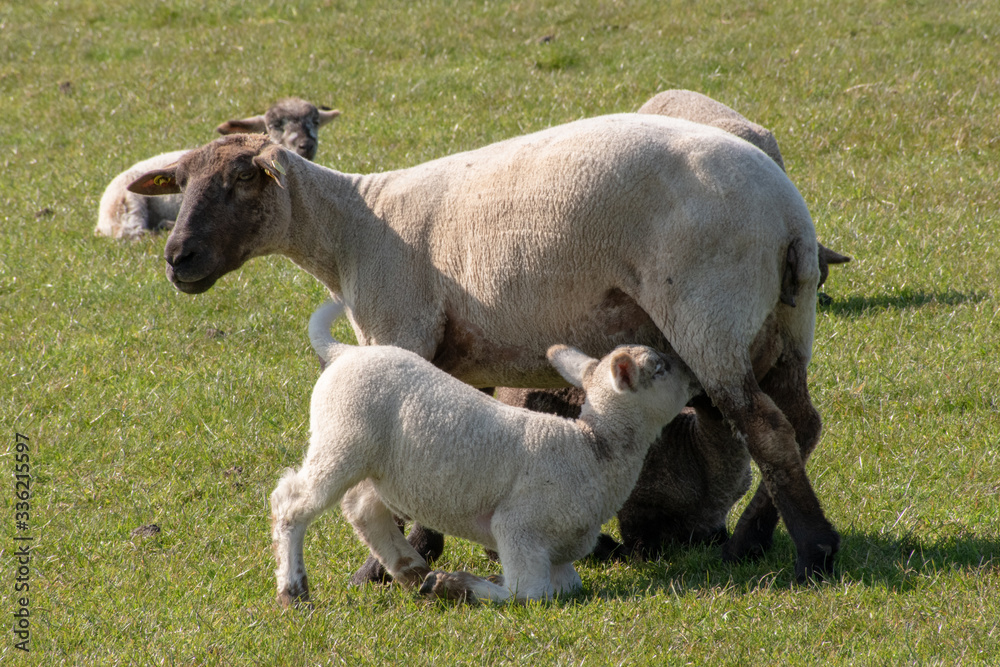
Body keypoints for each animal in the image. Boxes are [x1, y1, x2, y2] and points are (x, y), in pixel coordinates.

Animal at [129, 115, 840, 584]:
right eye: (181, 182)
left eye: (244, 179)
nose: (177, 258)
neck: (353, 229)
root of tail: (790, 218)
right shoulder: (452, 355)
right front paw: (423, 546)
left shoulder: (400, 327)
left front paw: (386, 564)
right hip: (784, 327)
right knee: (802, 424)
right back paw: (759, 539)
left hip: (710, 313)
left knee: (767, 429)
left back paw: (809, 553)